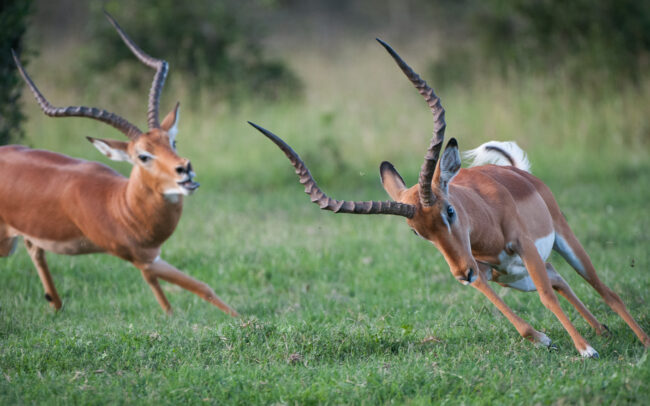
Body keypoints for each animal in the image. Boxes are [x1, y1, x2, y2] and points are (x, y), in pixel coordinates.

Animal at [4, 12, 238, 316]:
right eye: (143, 156)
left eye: (172, 142)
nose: (184, 168)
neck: (119, 204)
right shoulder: (140, 259)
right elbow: (180, 293)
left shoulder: (151, 257)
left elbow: (190, 288)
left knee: (35, 250)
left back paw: (55, 303)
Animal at [249, 39, 649, 357]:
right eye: (417, 232)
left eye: (450, 211)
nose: (460, 273)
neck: (487, 221)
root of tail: (519, 172)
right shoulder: (485, 269)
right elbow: (509, 304)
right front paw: (543, 338)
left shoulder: (521, 246)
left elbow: (548, 297)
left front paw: (585, 350)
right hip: (514, 275)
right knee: (557, 278)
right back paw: (603, 331)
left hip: (562, 241)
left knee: (603, 290)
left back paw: (635, 339)